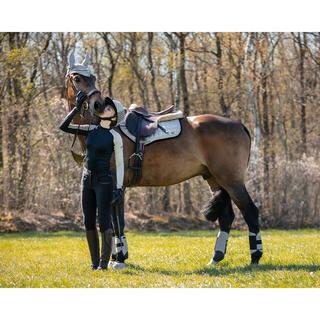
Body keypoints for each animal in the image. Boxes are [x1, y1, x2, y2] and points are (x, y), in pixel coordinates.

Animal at [63, 72, 264, 264]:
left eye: (91, 78)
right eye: (78, 78)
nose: (96, 104)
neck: (103, 127)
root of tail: (239, 125)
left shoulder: (116, 186)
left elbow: (116, 220)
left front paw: (119, 258)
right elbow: (113, 222)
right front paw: (115, 257)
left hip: (232, 181)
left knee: (250, 212)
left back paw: (255, 256)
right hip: (215, 180)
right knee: (226, 217)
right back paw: (216, 258)